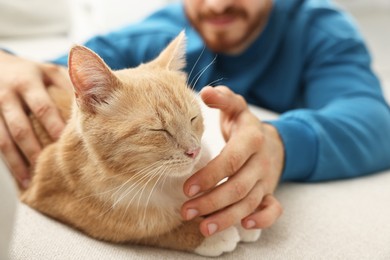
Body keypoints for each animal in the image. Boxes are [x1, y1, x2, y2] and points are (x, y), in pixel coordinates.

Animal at [20, 31, 262, 256]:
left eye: (193, 118)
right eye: (158, 130)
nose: (194, 151)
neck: (164, 182)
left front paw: (238, 213)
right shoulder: (55, 198)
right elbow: (154, 229)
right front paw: (207, 232)